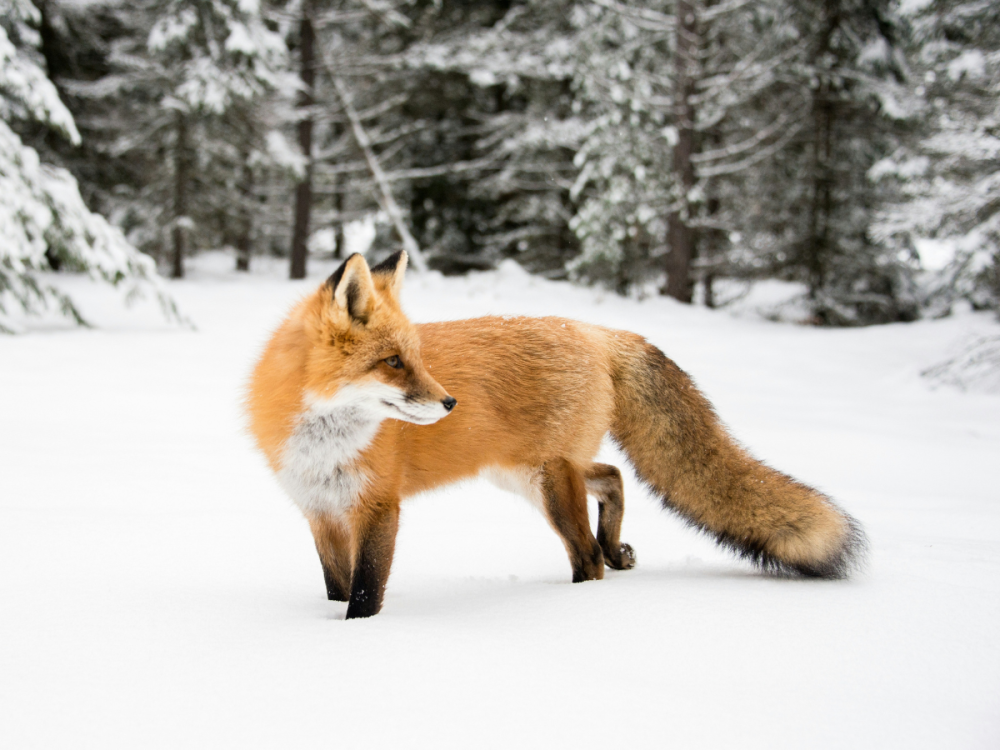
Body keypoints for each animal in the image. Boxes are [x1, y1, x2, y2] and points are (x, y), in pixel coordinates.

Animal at [246, 250, 866, 619]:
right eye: (394, 362)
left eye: (416, 359)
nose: (449, 402)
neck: (325, 443)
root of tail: (595, 331)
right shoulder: (320, 511)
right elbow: (336, 585)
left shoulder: (378, 507)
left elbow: (365, 591)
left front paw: (356, 637)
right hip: (527, 474)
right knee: (612, 476)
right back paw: (617, 549)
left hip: (547, 482)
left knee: (587, 555)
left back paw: (575, 599)